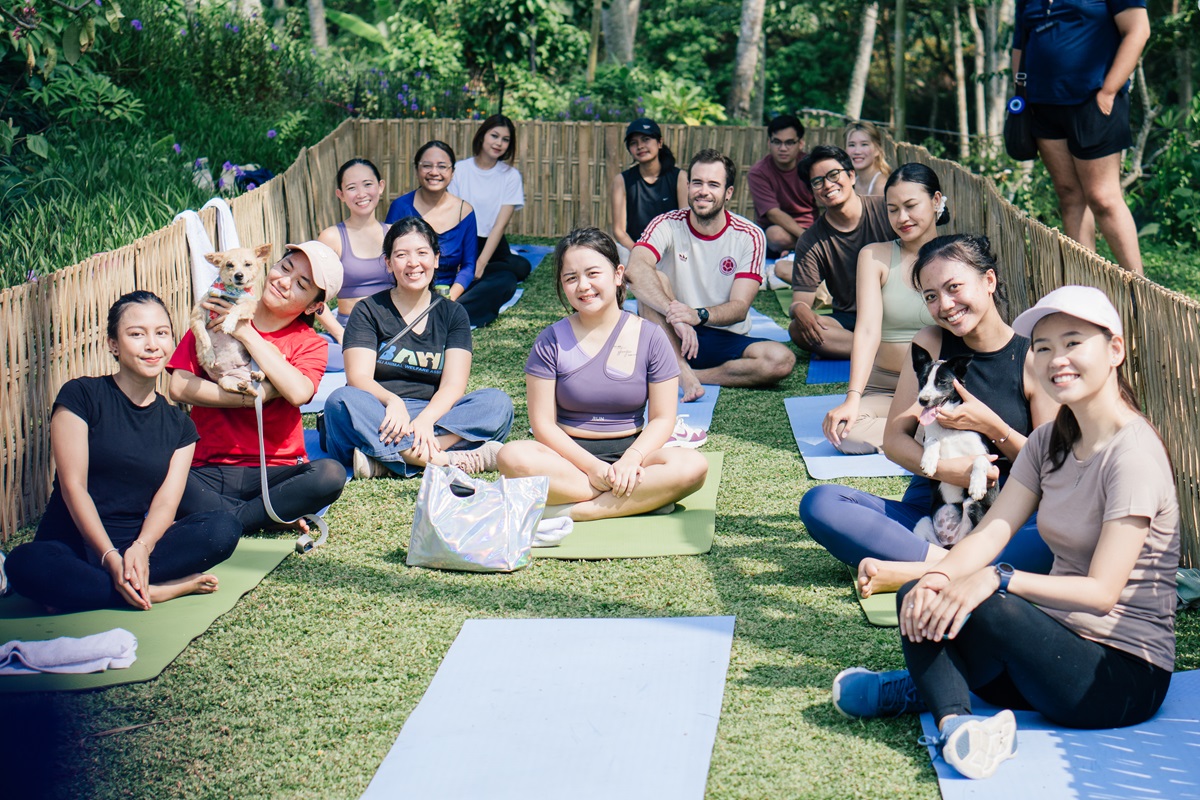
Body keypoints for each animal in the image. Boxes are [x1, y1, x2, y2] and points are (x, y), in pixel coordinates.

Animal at [190, 244, 271, 393]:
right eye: (229, 265)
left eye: (248, 264)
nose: (238, 275)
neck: (230, 294)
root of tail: (246, 374)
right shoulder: (197, 318)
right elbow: (204, 337)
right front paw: (208, 355)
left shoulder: (249, 307)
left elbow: (236, 309)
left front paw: (228, 323)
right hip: (225, 381)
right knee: (248, 391)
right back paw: (244, 385)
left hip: (266, 347)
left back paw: (259, 374)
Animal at [912, 345, 998, 551]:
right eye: (922, 381)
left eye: (942, 382)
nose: (923, 400)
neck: (949, 430)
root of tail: (950, 541)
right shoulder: (931, 435)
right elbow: (932, 439)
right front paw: (929, 461)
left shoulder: (989, 458)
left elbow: (979, 459)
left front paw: (977, 484)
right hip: (922, 524)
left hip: (973, 509)